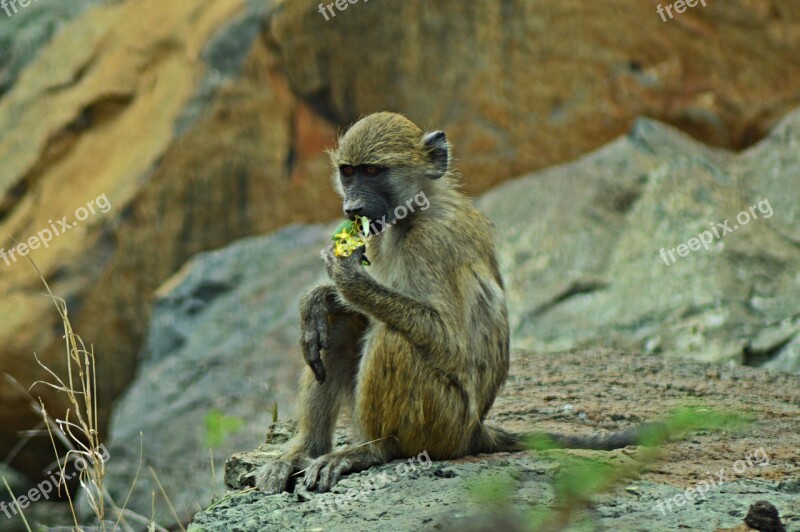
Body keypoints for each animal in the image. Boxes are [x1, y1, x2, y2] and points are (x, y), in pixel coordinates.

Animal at [256, 112, 664, 494]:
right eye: (348, 172)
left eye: (372, 171)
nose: (352, 208)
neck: (417, 209)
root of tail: (474, 431)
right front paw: (318, 299)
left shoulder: (433, 241)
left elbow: (446, 339)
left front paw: (345, 279)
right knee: (340, 327)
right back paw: (305, 450)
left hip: (442, 424)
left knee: (394, 337)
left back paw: (370, 450)